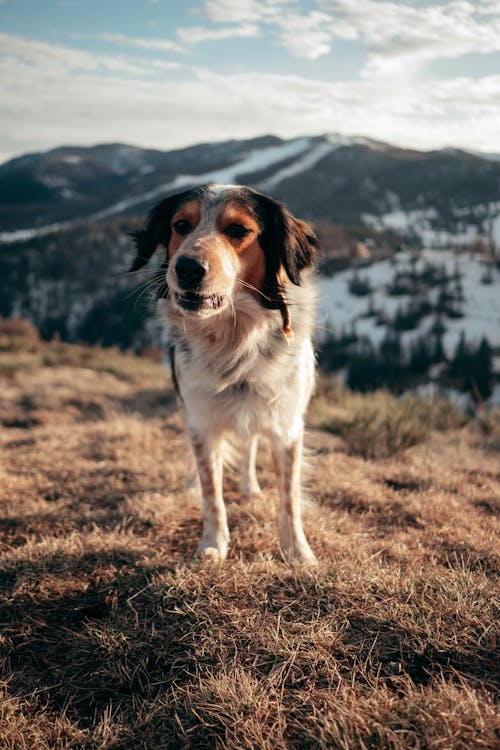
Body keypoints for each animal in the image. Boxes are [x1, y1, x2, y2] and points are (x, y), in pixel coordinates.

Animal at [131, 185, 318, 564]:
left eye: (238, 230)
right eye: (181, 225)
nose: (187, 267)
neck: (233, 339)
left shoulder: (287, 425)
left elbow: (289, 497)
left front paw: (297, 551)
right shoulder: (202, 423)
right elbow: (211, 492)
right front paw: (213, 544)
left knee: (249, 448)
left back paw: (250, 488)